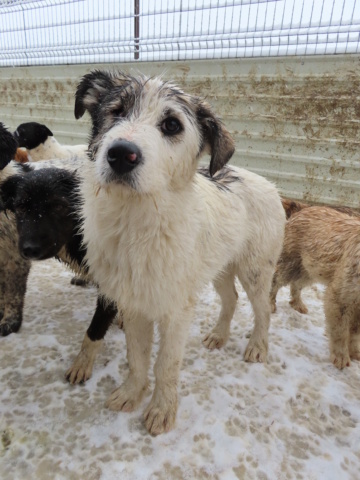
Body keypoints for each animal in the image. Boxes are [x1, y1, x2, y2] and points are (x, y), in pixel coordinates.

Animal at [76, 71, 286, 436]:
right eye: (116, 111)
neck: (135, 222)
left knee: (263, 311)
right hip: (217, 267)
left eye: (172, 125)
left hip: (255, 271)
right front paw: (132, 394)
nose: (121, 154)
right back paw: (219, 335)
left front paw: (161, 410)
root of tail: (268, 183)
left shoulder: (176, 310)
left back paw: (258, 346)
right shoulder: (134, 304)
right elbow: (137, 357)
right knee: (230, 298)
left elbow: (166, 364)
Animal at [272, 205, 360, 368]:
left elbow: (355, 332)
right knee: (275, 280)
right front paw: (341, 358)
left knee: (296, 285)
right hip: (291, 263)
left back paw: (298, 305)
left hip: (309, 269)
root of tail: (302, 210)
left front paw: (355, 354)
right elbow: (340, 330)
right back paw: (270, 305)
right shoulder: (340, 296)